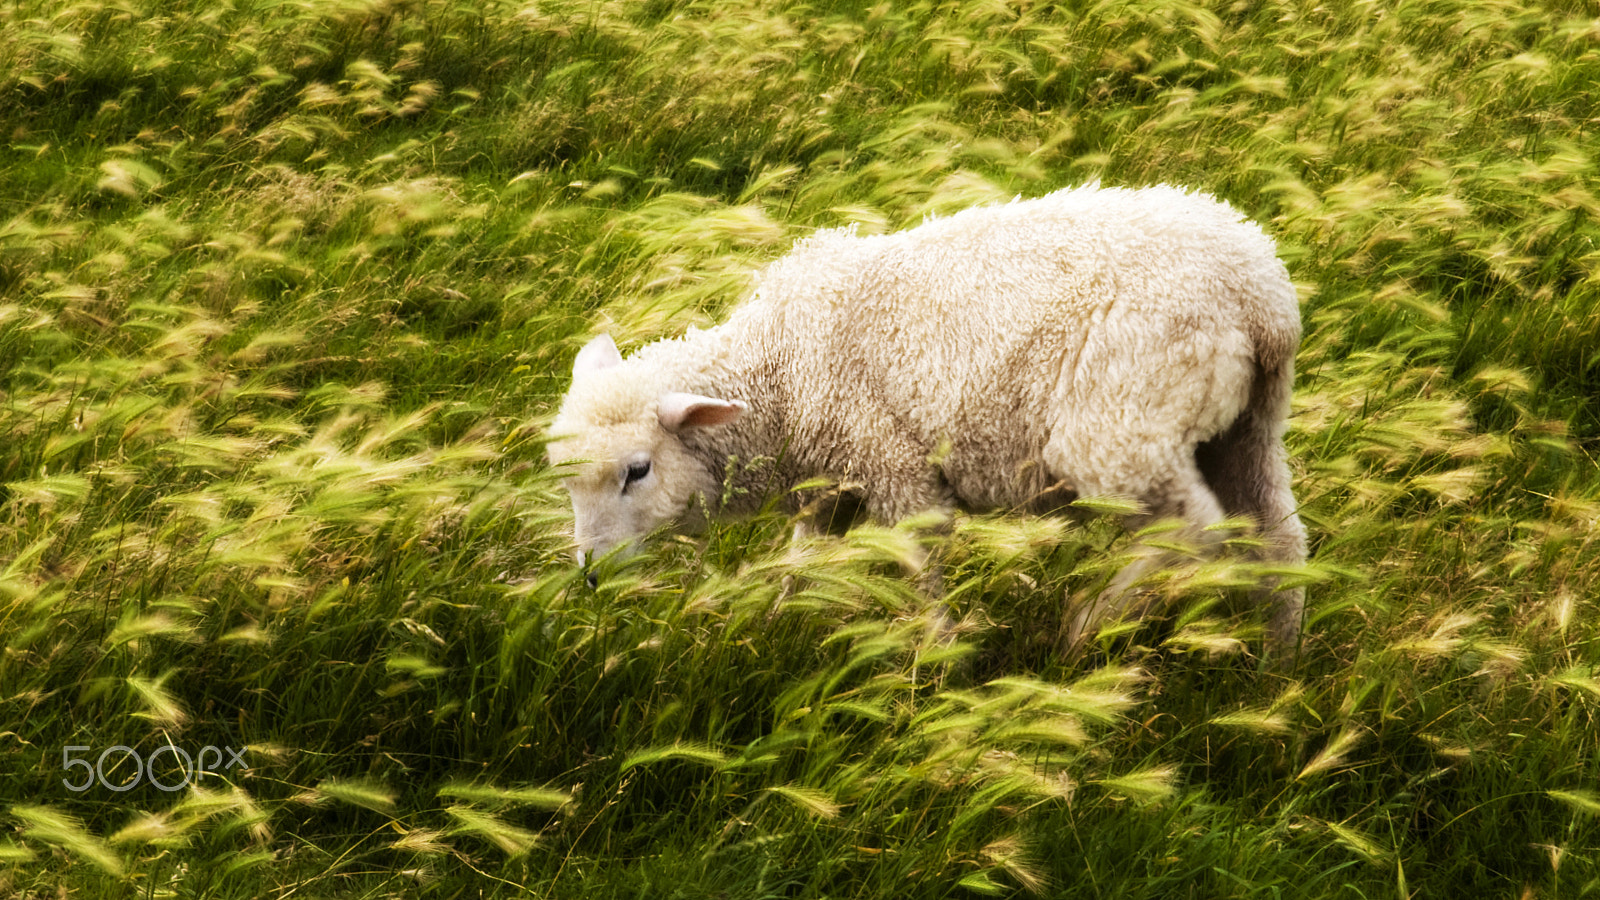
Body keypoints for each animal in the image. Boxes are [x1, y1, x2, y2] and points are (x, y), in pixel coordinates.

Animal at [550, 180, 1312, 650]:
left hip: (1121, 424)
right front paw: (775, 621)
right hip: (1246, 426)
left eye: (637, 471)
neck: (779, 371)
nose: (591, 574)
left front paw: (937, 667)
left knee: (1199, 531)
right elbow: (803, 559)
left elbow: (922, 571)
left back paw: (1091, 622)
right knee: (1276, 538)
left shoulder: (895, 468)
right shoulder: (830, 484)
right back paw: (1278, 668)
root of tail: (1260, 295)